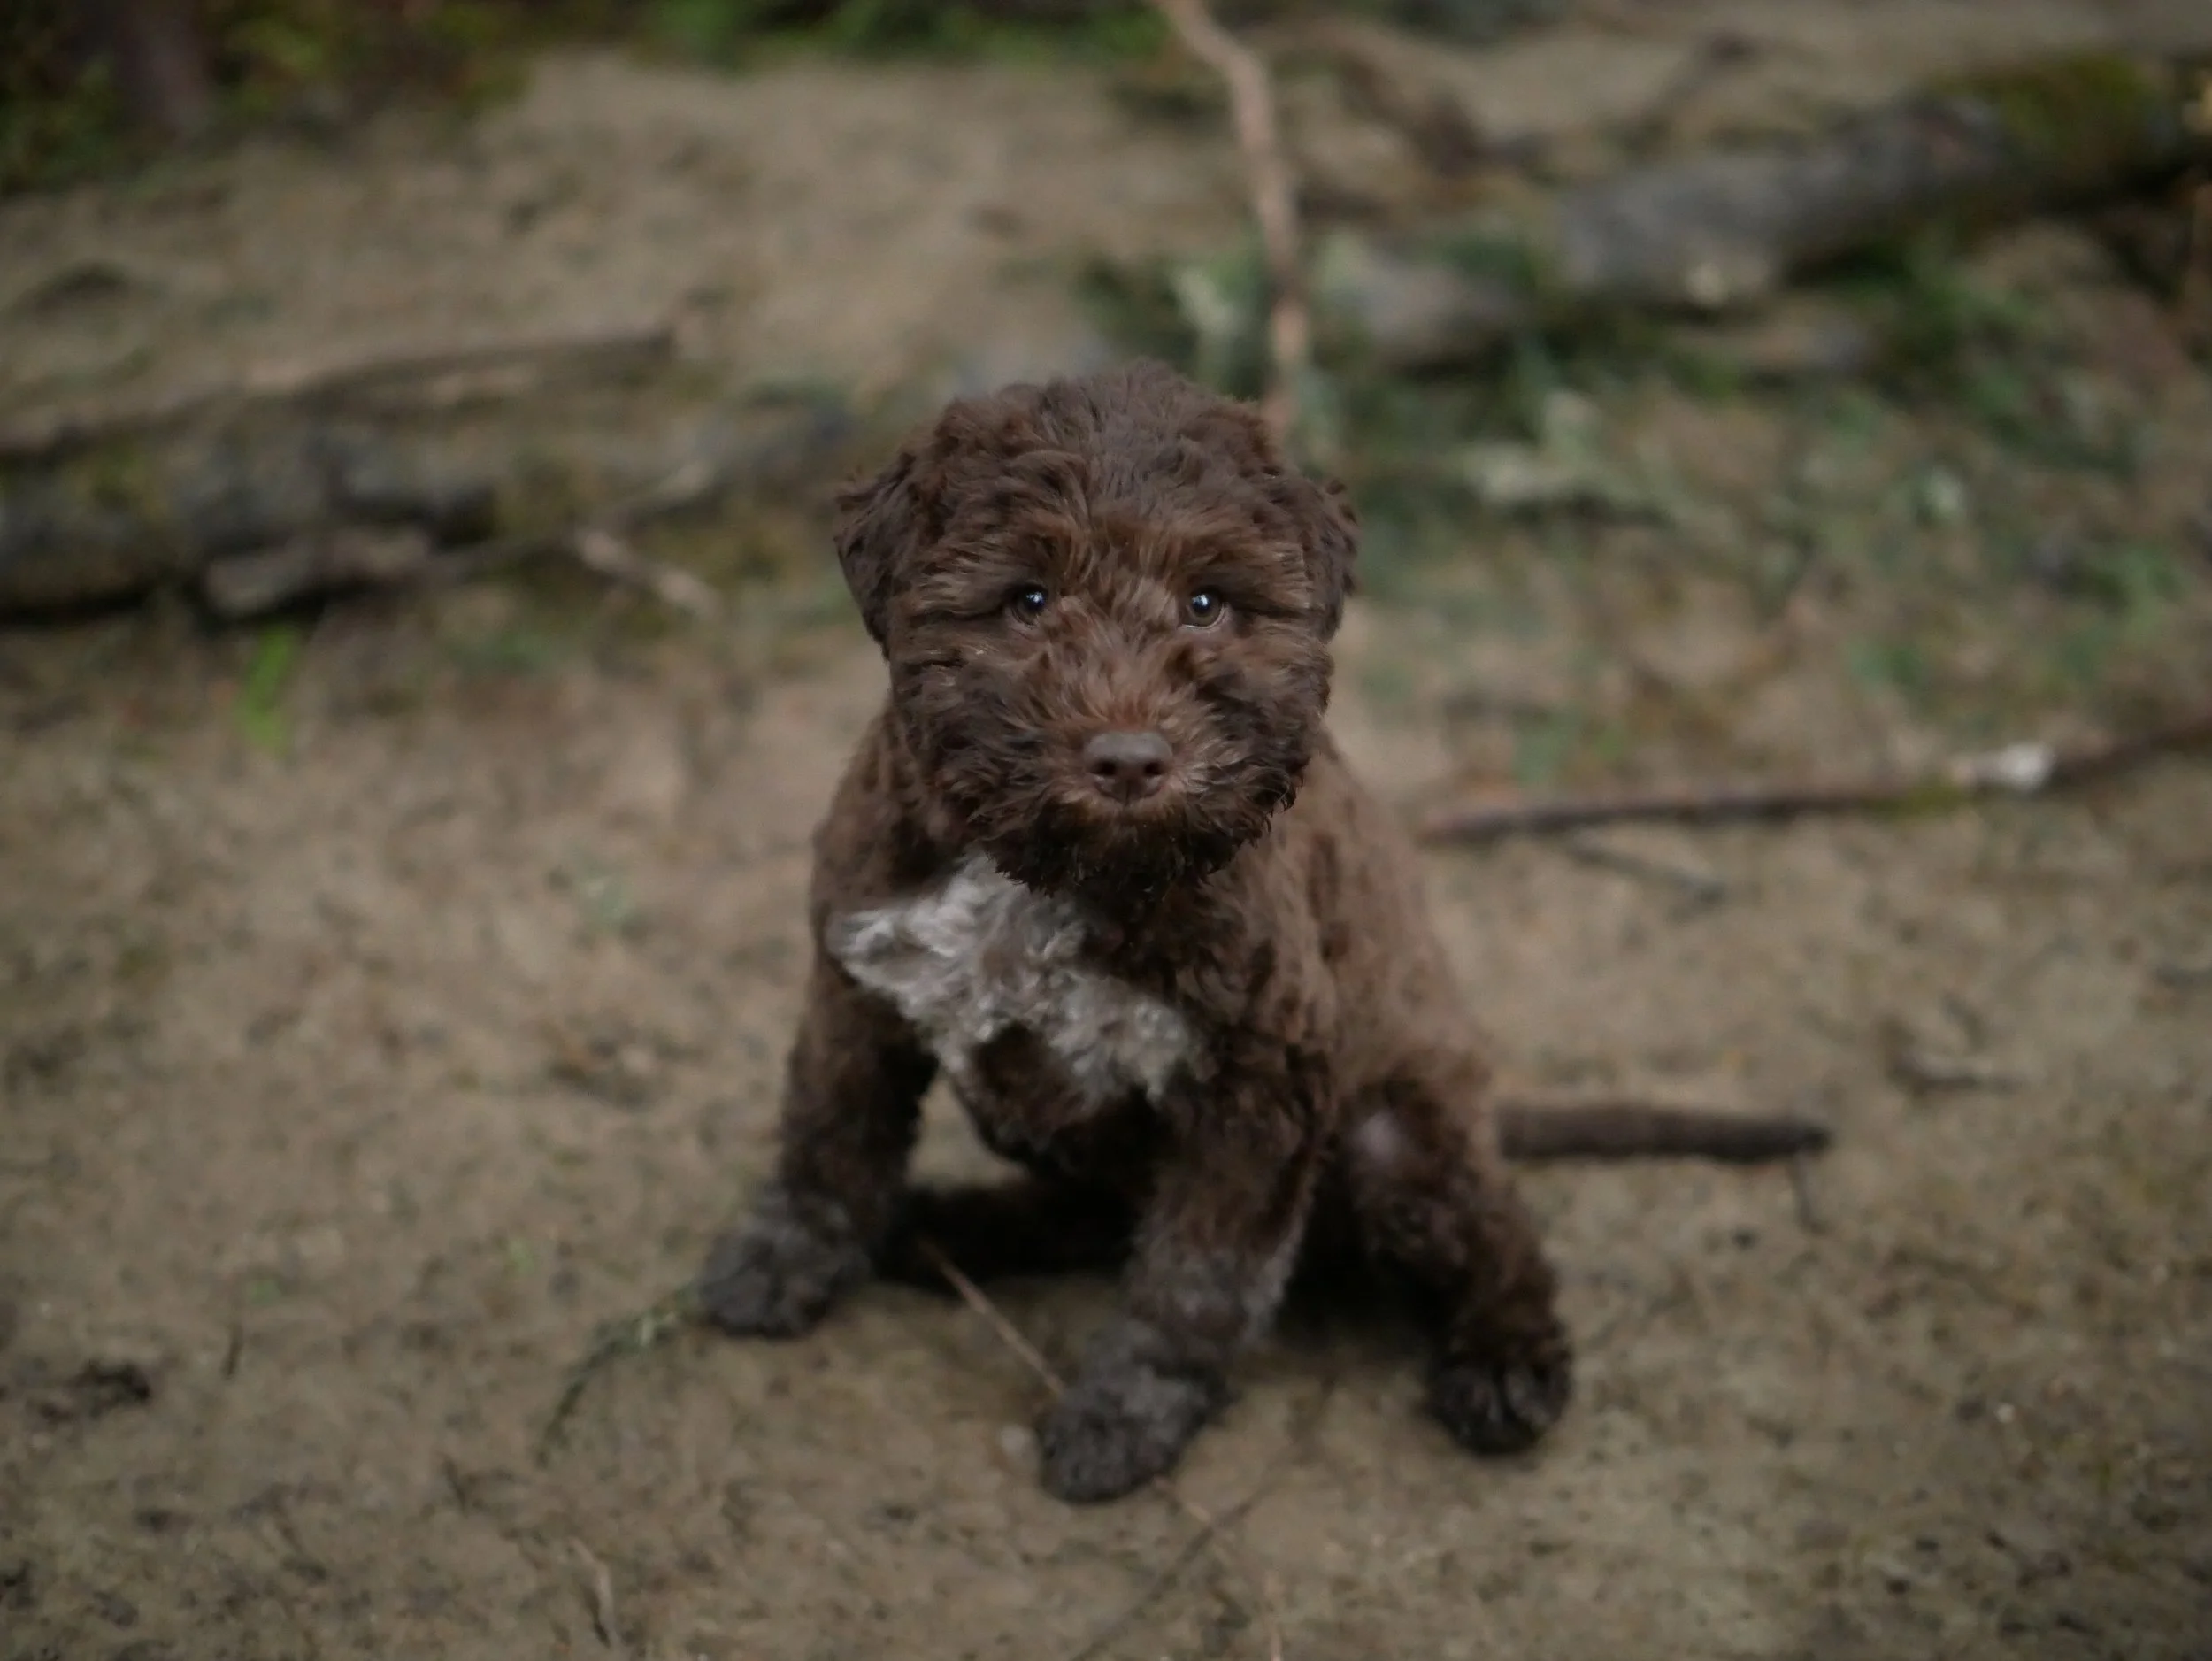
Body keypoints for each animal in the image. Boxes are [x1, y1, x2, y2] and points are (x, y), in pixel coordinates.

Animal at [699, 360, 1826, 1503]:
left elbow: (1195, 1273)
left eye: (1207, 601)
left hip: (1398, 1134)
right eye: (1027, 599)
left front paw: (1129, 1410)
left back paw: (1506, 1357)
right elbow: (830, 1132)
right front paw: (784, 1258)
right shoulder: (861, 977)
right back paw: (953, 1226)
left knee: (1495, 1225)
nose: (1130, 757)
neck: (1049, 874)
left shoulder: (1262, 1077)